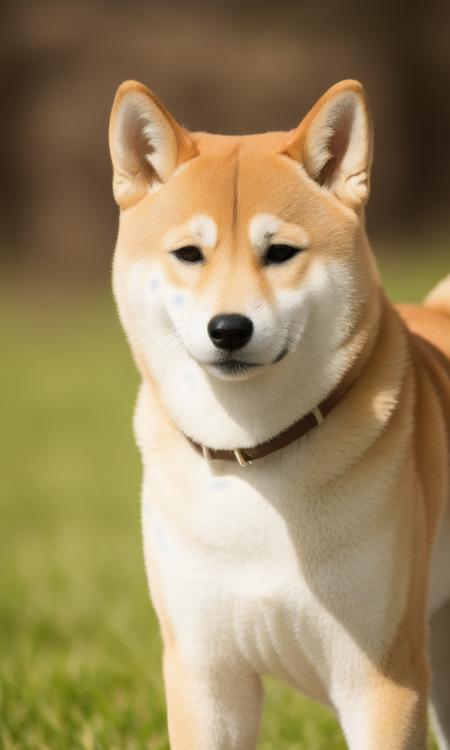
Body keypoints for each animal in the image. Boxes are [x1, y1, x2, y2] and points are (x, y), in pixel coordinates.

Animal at [110, 79, 450, 748]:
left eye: (281, 252)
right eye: (189, 253)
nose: (229, 328)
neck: (256, 453)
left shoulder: (382, 677)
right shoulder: (205, 672)